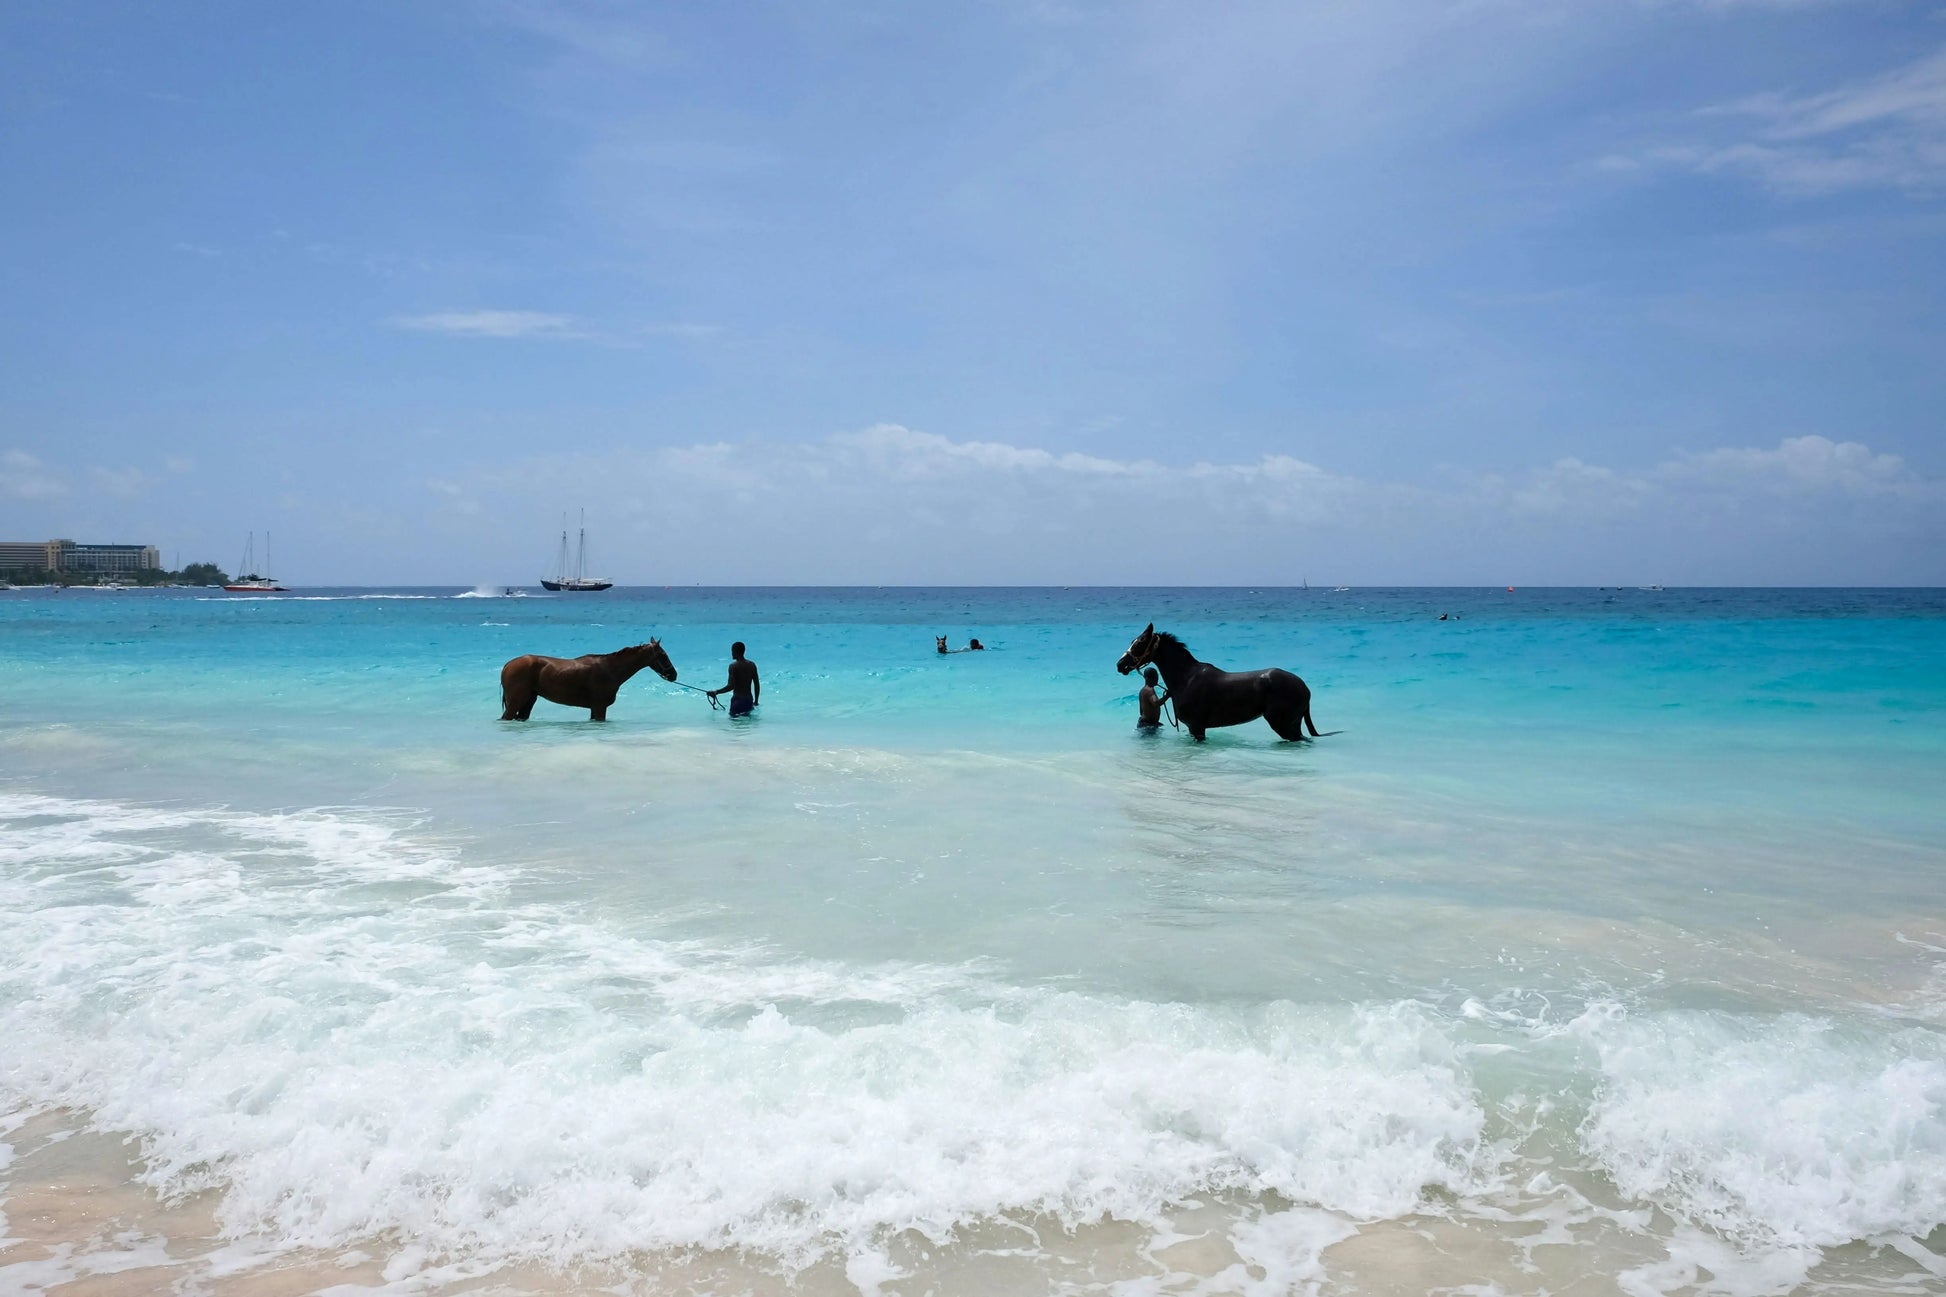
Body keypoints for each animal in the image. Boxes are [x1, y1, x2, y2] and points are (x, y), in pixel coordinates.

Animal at [499, 639, 677, 722]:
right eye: (663, 655)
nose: (673, 675)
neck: (609, 669)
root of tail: (508, 664)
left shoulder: (594, 708)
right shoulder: (599, 707)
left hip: (529, 701)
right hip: (516, 701)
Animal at [1115, 623, 1319, 742]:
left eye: (1140, 643)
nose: (1120, 664)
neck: (1185, 679)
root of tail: (1305, 688)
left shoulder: (1197, 727)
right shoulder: (1193, 728)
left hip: (1282, 724)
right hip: (1293, 724)